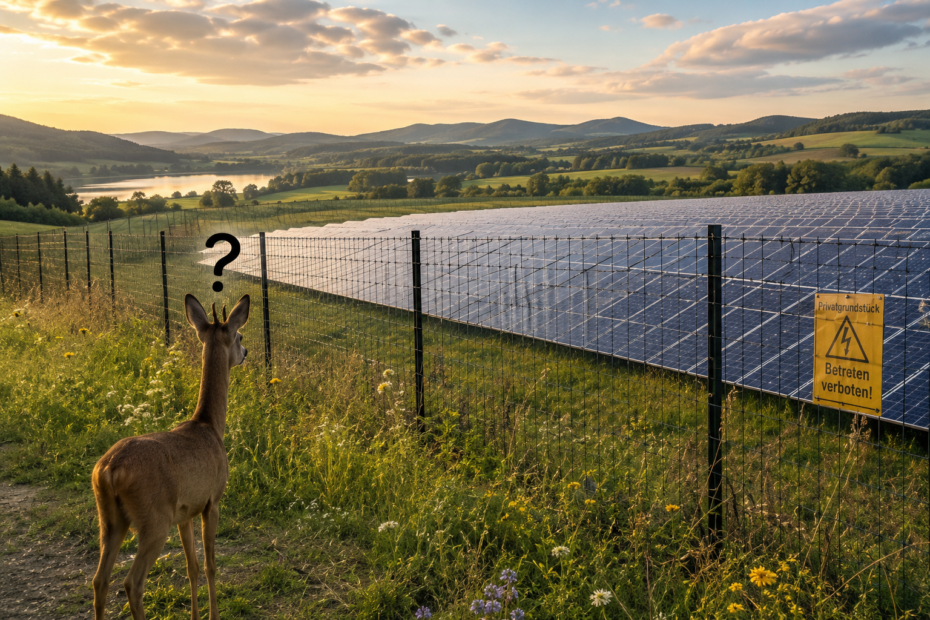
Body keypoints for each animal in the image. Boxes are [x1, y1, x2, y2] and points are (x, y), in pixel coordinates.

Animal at [91, 293, 250, 620]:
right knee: (132, 582)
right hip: (153, 519)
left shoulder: (185, 512)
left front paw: (195, 615)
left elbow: (192, 566)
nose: (246, 352)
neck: (210, 426)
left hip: (111, 519)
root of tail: (109, 470)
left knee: (100, 579)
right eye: (239, 335)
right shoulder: (212, 500)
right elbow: (211, 565)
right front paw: (213, 615)